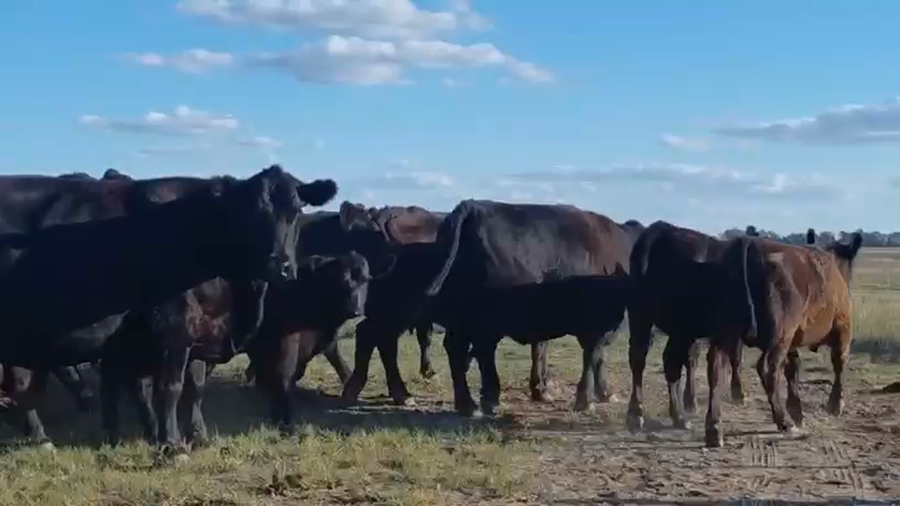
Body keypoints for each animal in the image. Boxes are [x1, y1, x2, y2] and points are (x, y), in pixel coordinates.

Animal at [0, 165, 337, 450]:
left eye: (296, 211)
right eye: (251, 214)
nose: (280, 266)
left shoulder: (185, 332)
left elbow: (191, 387)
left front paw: (192, 436)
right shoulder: (171, 326)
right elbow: (169, 388)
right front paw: (171, 444)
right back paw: (41, 438)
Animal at [342, 200, 644, 416]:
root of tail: (471, 207)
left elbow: (552, 351)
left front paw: (546, 389)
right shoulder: (596, 323)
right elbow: (592, 356)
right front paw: (587, 398)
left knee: (379, 338)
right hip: (467, 315)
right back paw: (479, 400)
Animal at [625, 221, 748, 433]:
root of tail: (658, 232)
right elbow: (735, 357)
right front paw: (738, 392)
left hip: (640, 315)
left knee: (639, 357)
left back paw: (637, 412)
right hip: (680, 326)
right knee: (671, 363)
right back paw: (679, 416)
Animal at [702, 230, 862, 447]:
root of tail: (748, 243)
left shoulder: (793, 340)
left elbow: (793, 368)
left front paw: (797, 410)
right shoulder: (843, 327)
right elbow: (839, 363)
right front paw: (835, 405)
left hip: (728, 333)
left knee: (716, 368)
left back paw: (714, 429)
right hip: (779, 335)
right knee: (767, 369)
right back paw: (783, 422)